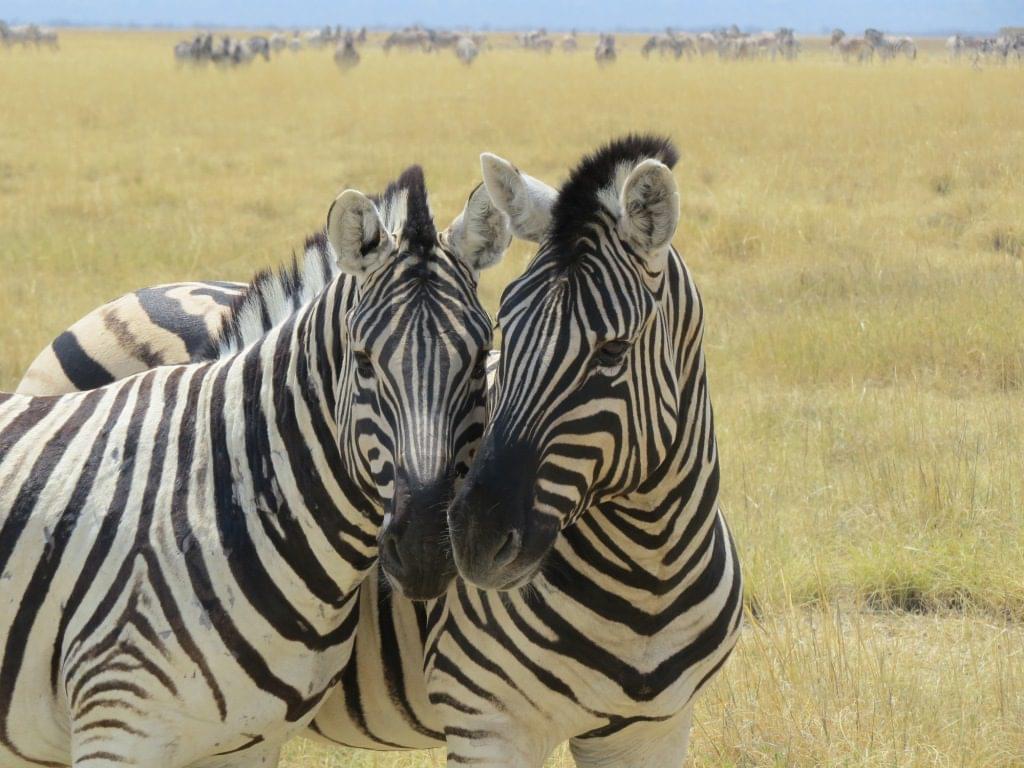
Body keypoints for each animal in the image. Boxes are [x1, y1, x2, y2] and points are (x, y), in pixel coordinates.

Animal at [0, 167, 512, 767]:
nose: (426, 551)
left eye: (479, 360)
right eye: (363, 361)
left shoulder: (249, 742)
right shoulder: (117, 727)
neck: (215, 495)